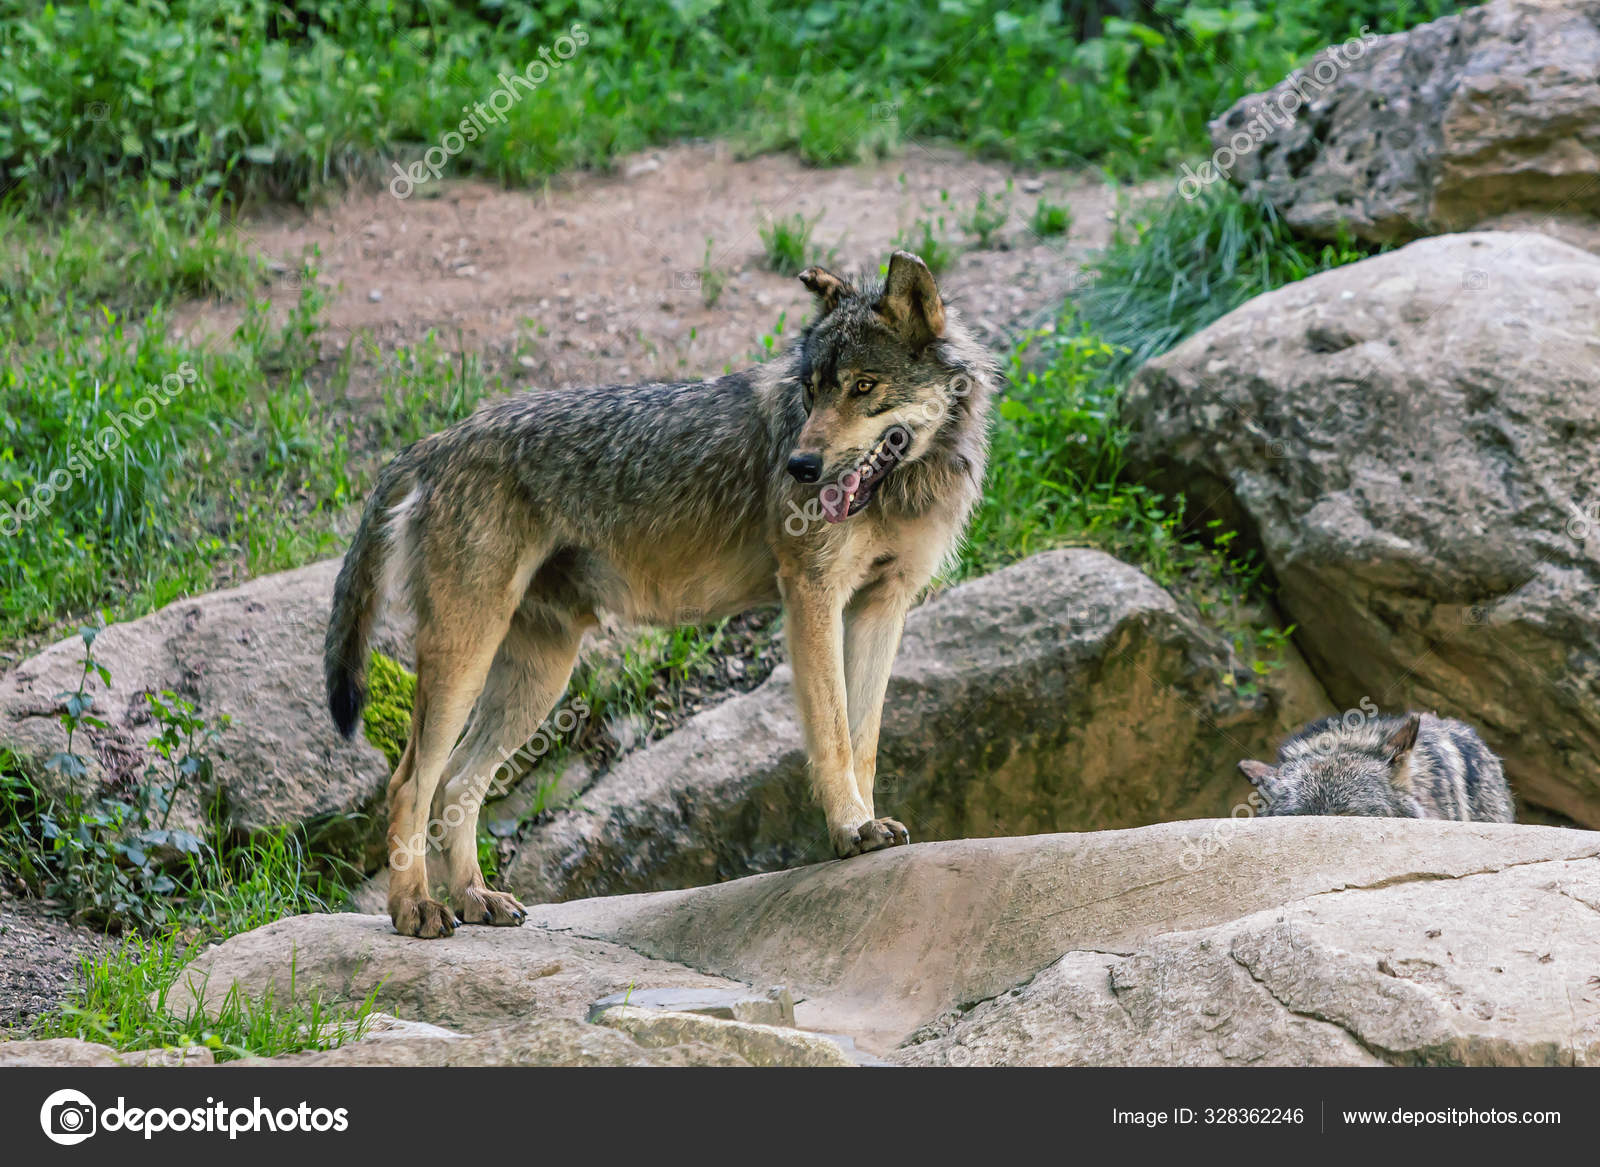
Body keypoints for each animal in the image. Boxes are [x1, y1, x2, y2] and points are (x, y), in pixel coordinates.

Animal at [320, 252, 992, 934]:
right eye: (811, 391)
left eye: (862, 387)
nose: (799, 467)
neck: (904, 489)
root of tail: (435, 442)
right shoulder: (812, 595)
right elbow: (832, 737)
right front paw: (852, 830)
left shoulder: (882, 606)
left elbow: (863, 742)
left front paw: (865, 826)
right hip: (467, 656)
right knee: (410, 783)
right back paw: (416, 908)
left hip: (540, 673)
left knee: (458, 782)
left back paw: (477, 899)